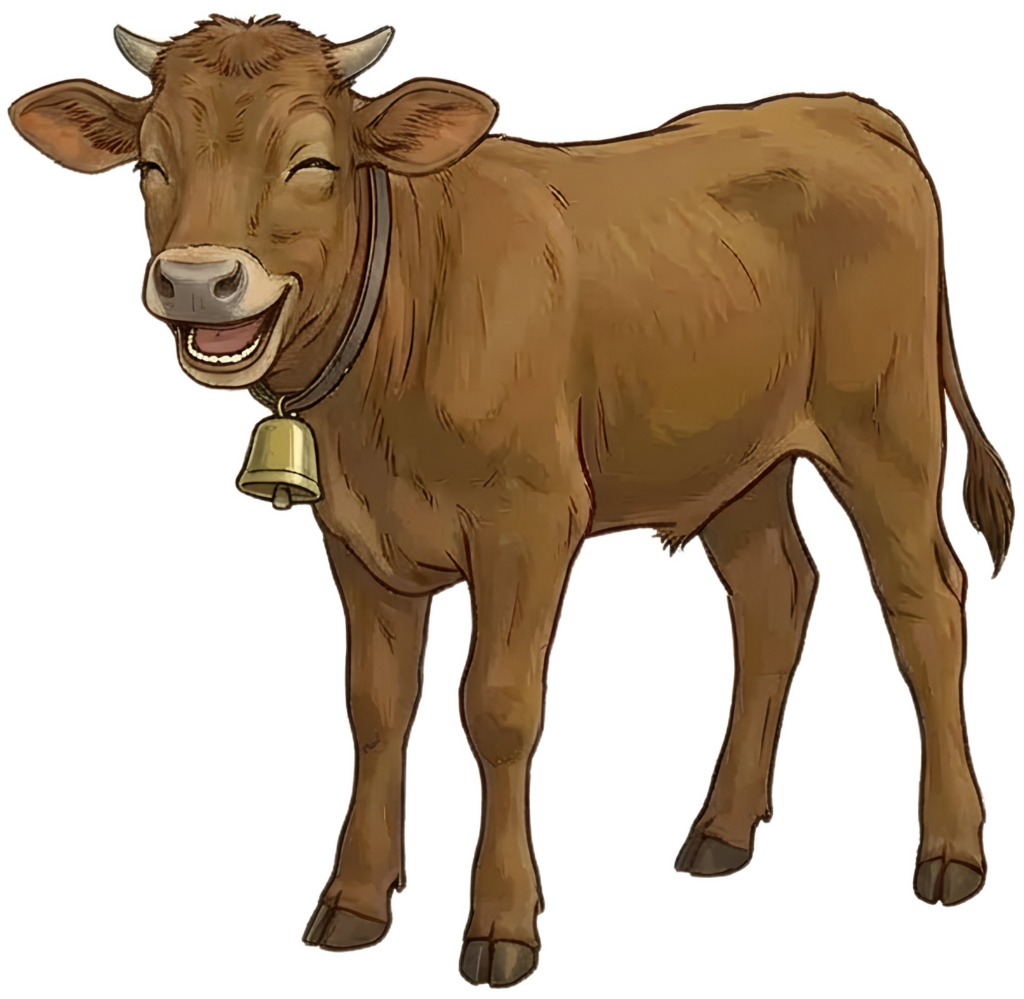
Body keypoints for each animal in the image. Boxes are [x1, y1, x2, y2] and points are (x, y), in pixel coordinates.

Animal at [6, 10, 1016, 989]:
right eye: (151, 164)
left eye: (314, 164)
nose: (196, 282)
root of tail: (840, 108)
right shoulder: (356, 538)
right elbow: (375, 706)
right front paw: (355, 903)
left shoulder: (529, 524)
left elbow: (497, 707)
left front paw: (501, 925)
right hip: (734, 461)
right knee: (775, 594)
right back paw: (721, 833)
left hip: (887, 432)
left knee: (927, 604)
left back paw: (952, 853)